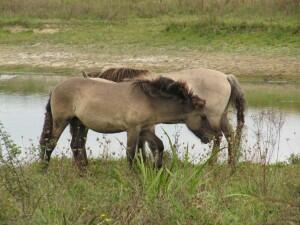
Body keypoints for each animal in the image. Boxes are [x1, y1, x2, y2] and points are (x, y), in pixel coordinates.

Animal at [38, 76, 205, 170]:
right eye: (203, 116)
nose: (208, 137)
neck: (148, 100)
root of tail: (55, 89)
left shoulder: (143, 129)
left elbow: (158, 145)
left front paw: (157, 169)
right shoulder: (133, 129)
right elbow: (131, 154)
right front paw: (133, 175)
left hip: (78, 123)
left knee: (76, 145)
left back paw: (84, 172)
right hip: (61, 121)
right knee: (50, 144)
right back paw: (44, 170)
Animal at [82, 67, 246, 167]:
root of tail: (226, 77)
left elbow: (145, 144)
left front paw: (145, 163)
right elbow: (146, 144)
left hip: (214, 118)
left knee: (218, 137)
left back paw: (212, 164)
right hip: (222, 117)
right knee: (230, 137)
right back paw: (230, 164)